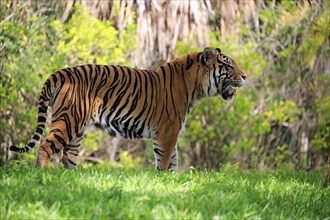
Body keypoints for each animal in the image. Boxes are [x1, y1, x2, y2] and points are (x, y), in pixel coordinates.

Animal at [9, 47, 248, 169]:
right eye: (228, 65)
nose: (245, 76)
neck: (195, 86)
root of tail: (60, 72)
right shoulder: (167, 132)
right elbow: (164, 162)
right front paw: (162, 182)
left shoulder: (170, 133)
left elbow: (173, 162)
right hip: (68, 121)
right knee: (45, 147)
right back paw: (43, 175)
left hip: (76, 131)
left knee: (68, 159)